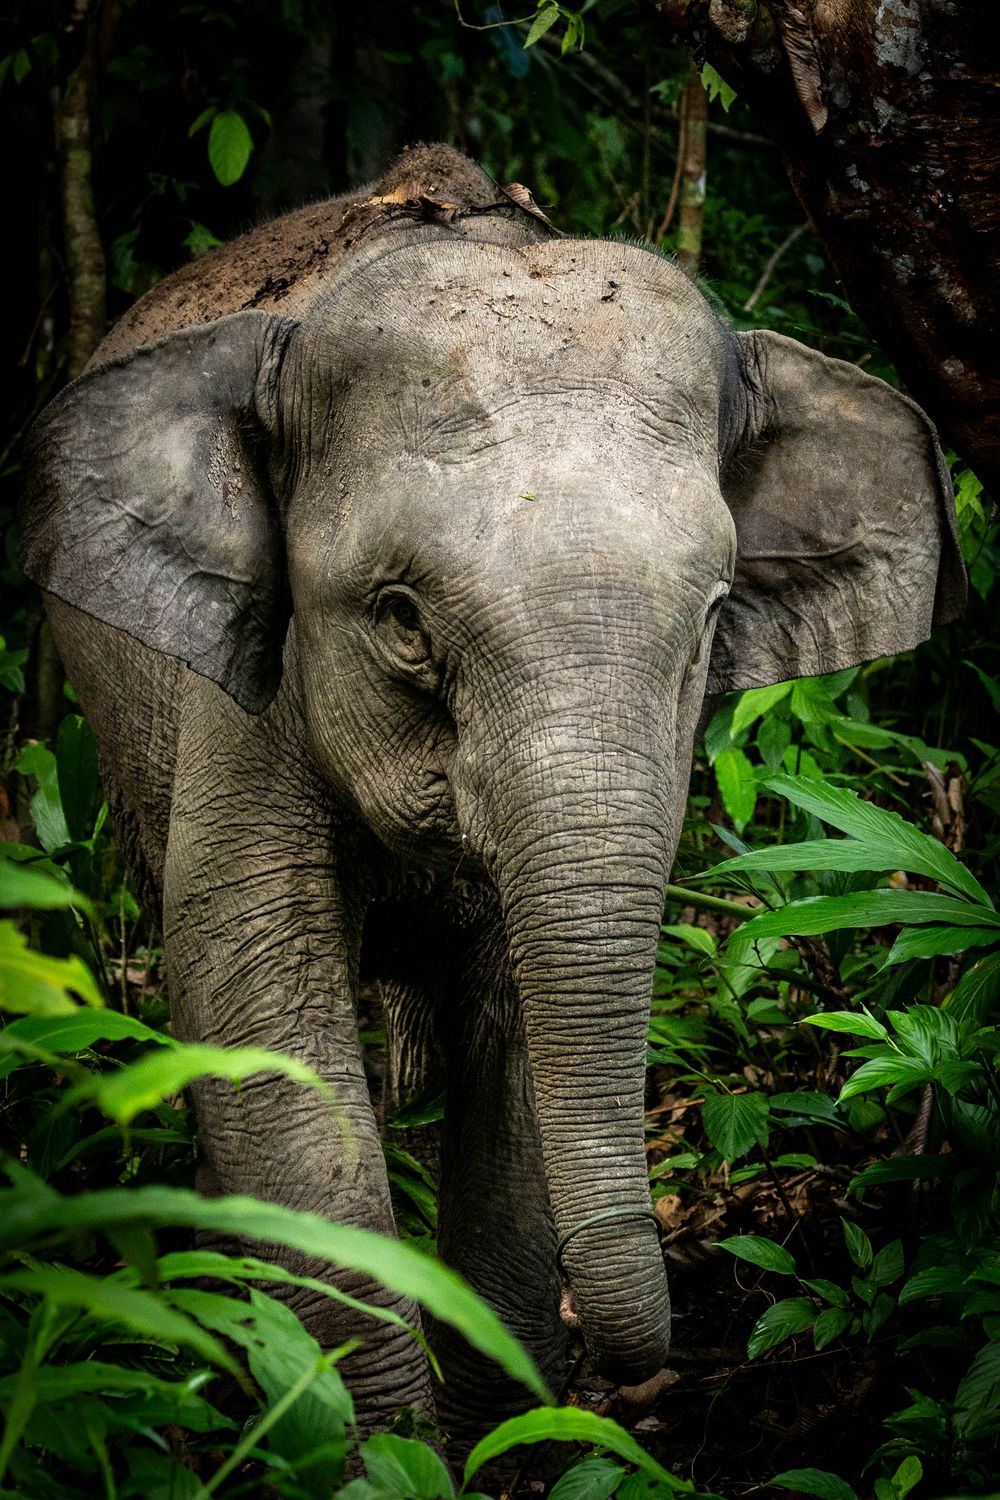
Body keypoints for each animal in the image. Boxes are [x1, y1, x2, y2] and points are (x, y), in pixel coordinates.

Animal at [20, 142, 964, 1433]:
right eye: (401, 620)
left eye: (713, 618)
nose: (631, 1361)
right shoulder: (243, 705)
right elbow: (258, 1004)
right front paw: (366, 1439)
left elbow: (517, 1023)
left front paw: (497, 1431)